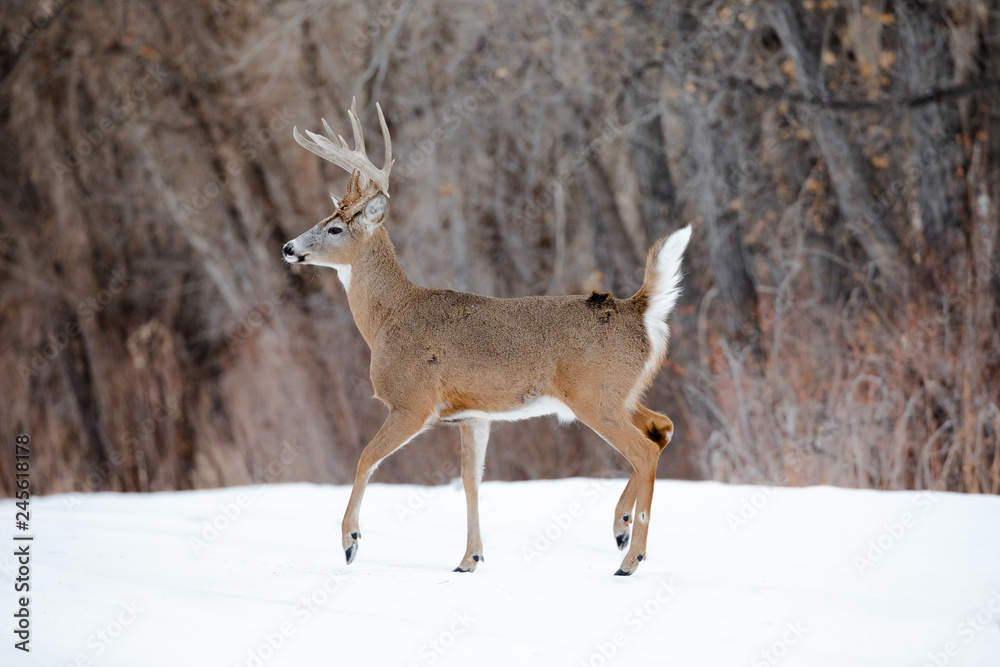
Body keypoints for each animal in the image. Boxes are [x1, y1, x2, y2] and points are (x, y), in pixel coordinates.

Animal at [280, 98, 688, 576]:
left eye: (335, 228)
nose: (289, 248)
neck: (389, 318)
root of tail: (639, 309)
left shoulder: (412, 402)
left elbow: (365, 457)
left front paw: (350, 542)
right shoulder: (473, 416)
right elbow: (471, 480)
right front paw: (469, 559)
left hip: (595, 394)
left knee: (643, 449)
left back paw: (630, 557)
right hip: (620, 392)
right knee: (662, 428)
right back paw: (621, 527)